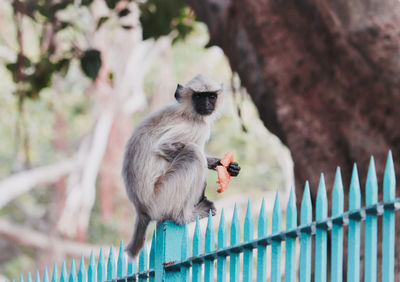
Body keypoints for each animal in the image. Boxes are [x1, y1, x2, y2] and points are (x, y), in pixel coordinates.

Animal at [121, 74, 241, 258]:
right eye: (198, 96)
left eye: (211, 96)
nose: (206, 104)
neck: (187, 113)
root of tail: (141, 209)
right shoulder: (195, 127)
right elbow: (165, 147)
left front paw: (224, 165)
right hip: (163, 197)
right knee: (193, 153)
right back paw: (184, 216)